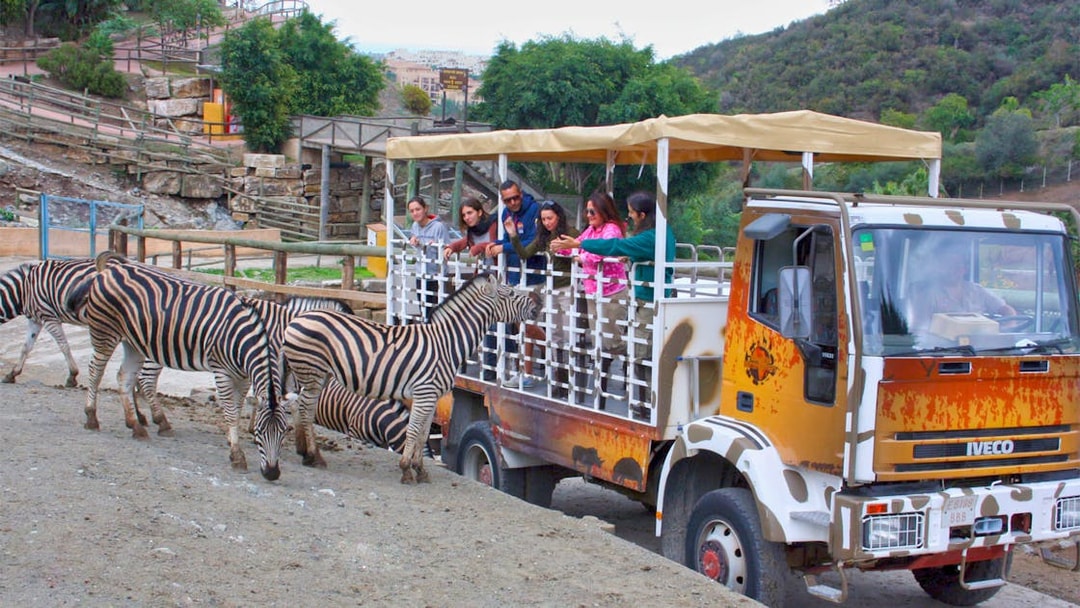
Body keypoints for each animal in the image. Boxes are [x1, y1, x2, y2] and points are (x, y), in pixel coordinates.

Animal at [0, 258, 96, 387]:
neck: (23, 291)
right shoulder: (35, 320)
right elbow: (26, 347)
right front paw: (12, 374)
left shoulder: (49, 317)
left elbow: (64, 346)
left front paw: (72, 376)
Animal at [64, 251, 291, 480]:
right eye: (260, 432)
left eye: (283, 431)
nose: (272, 473)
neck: (242, 337)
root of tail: (110, 269)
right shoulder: (222, 371)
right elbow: (229, 413)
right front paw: (237, 456)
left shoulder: (243, 377)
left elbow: (236, 410)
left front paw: (231, 441)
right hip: (105, 332)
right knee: (96, 371)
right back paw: (92, 417)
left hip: (133, 342)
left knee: (124, 377)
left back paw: (136, 426)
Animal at [281, 272, 540, 483]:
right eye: (512, 293)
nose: (537, 307)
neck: (446, 342)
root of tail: (297, 318)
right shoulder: (424, 392)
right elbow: (414, 430)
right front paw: (406, 469)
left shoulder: (432, 396)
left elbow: (424, 432)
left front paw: (420, 469)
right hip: (312, 373)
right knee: (305, 409)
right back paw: (313, 455)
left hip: (318, 375)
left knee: (301, 405)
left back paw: (307, 454)